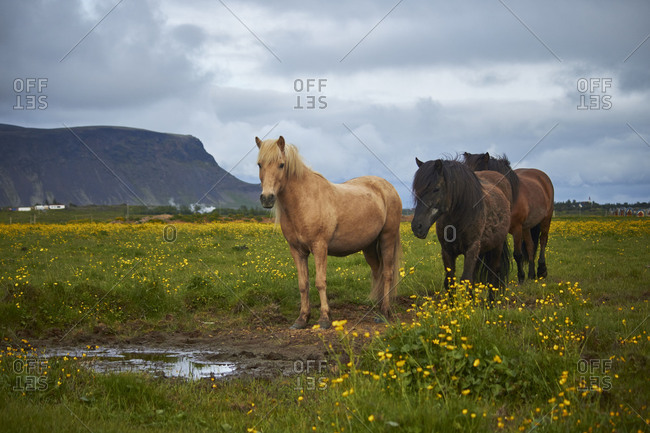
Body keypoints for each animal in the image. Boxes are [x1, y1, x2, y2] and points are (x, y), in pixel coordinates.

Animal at [255, 136, 402, 329]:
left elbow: (320, 282)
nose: (267, 198)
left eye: (281, 165)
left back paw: (384, 312)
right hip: (369, 246)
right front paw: (302, 319)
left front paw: (324, 318)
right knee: (377, 271)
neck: (303, 201)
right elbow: (303, 284)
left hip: (387, 238)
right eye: (259, 164)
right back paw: (377, 309)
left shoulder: (320, 247)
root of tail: (387, 187)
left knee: (387, 274)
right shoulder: (297, 251)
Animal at [411, 158, 511, 302]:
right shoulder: (447, 251)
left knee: (493, 273)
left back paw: (491, 303)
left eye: (436, 189)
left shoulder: (472, 248)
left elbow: (466, 280)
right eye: (417, 191)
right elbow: (450, 281)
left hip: (497, 246)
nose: (417, 227)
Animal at [463, 152, 554, 282]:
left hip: (546, 218)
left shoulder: (517, 228)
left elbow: (517, 254)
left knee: (543, 240)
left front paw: (520, 277)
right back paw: (531, 275)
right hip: (526, 227)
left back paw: (542, 271)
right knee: (530, 246)